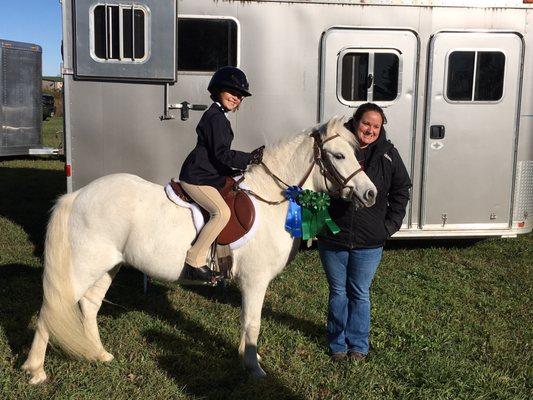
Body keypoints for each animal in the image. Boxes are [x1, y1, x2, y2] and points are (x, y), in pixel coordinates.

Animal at [22, 116, 376, 384]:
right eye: (339, 156)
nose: (370, 194)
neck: (270, 199)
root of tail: (77, 196)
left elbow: (247, 323)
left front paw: (248, 359)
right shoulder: (255, 281)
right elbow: (253, 323)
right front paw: (255, 368)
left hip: (109, 265)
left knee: (89, 306)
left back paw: (98, 354)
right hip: (84, 265)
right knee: (53, 307)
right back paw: (35, 371)